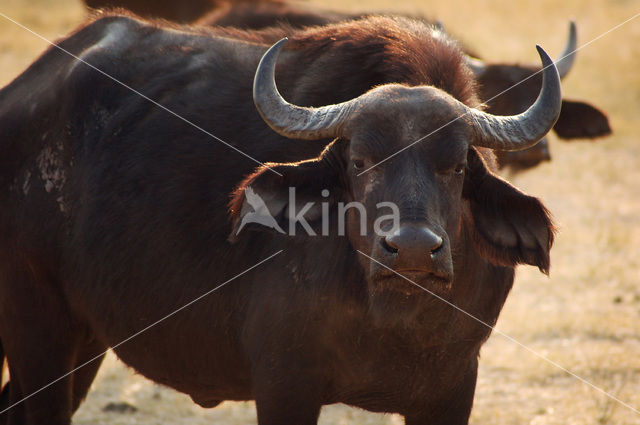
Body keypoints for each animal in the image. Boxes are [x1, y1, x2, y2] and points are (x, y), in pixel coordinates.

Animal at [0, 14, 560, 422]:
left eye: (458, 165)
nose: (415, 249)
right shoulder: (284, 382)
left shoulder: (452, 389)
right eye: (360, 161)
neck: (393, 315)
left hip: (84, 337)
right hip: (37, 323)